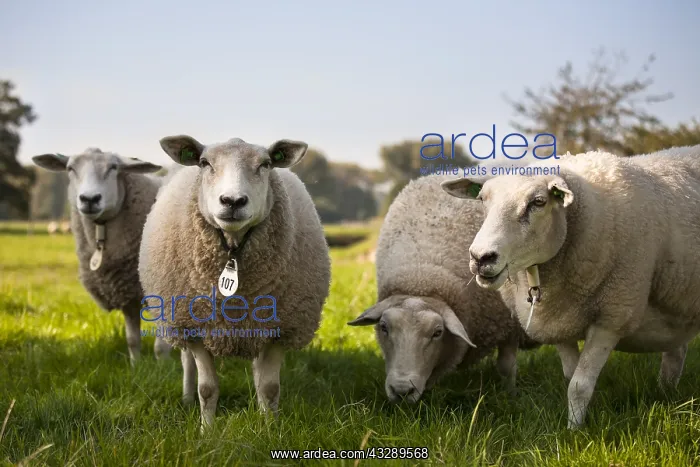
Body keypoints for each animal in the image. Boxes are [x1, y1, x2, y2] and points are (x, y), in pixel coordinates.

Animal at [32, 148, 172, 364]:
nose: (89, 199)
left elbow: (160, 347)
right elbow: (132, 340)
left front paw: (164, 368)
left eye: (113, 167)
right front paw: (136, 366)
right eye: (70, 168)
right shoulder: (127, 291)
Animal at [138, 134, 331, 429]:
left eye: (265, 164)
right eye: (204, 163)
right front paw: (207, 431)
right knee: (187, 362)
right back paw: (186, 398)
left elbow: (269, 387)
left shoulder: (281, 328)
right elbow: (207, 389)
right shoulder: (195, 327)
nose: (233, 201)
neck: (233, 248)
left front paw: (270, 428)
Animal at [348, 173, 539, 403]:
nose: (402, 391)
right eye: (384, 327)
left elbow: (506, 367)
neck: (421, 277)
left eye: (437, 333)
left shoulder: (509, 324)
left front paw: (510, 396)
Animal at [441, 145, 700, 429]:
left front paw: (574, 430)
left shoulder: (612, 317)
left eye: (538, 202)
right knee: (676, 352)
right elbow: (570, 377)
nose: (481, 258)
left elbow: (579, 385)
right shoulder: (559, 323)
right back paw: (666, 392)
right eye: (482, 199)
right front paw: (583, 418)